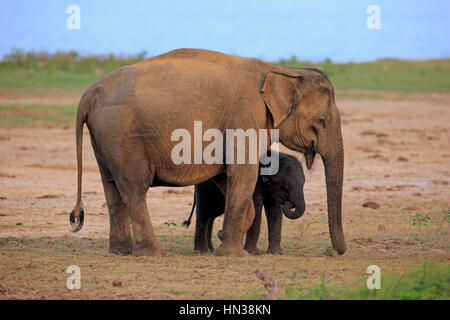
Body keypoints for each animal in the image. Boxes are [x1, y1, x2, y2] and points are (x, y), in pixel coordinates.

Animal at [70, 48, 346, 258]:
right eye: (321, 121)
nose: (337, 252)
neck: (280, 69)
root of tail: (88, 94)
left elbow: (228, 177)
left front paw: (229, 244)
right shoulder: (247, 116)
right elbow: (243, 175)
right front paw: (234, 255)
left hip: (105, 138)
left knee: (111, 187)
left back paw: (121, 252)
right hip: (123, 135)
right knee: (134, 188)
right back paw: (152, 254)